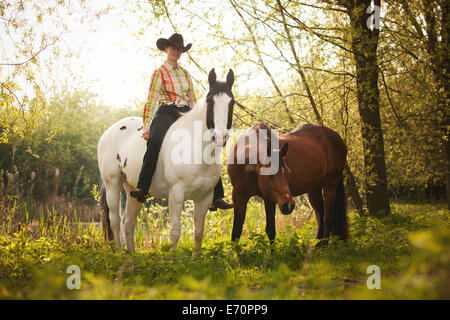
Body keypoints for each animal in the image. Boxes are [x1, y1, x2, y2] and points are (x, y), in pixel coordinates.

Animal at [96, 69, 234, 251]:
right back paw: (119, 252)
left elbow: (198, 233)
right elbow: (175, 233)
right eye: (210, 102)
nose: (220, 137)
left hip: (132, 190)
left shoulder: (204, 198)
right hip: (113, 183)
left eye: (232, 102)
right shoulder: (176, 195)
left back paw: (131, 255)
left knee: (128, 223)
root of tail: (109, 131)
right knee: (115, 221)